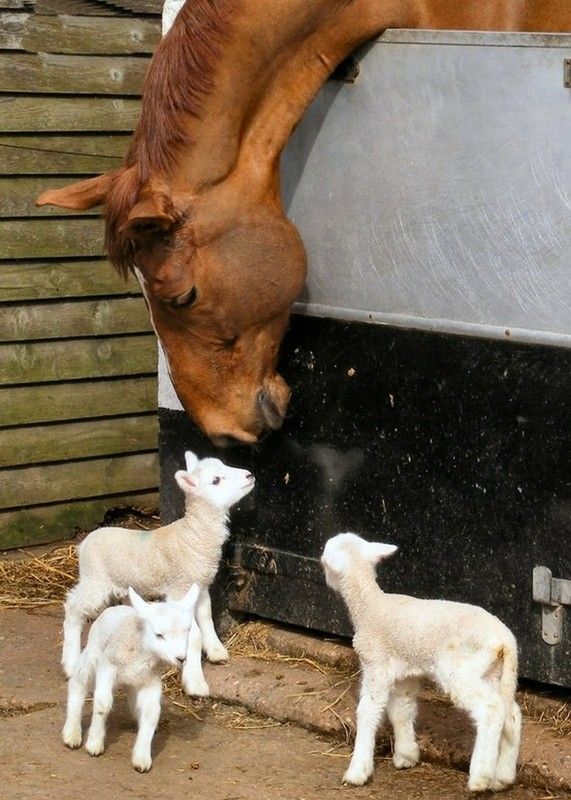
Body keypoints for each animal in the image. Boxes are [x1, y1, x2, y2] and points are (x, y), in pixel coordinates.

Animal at [62, 454, 255, 696]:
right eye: (216, 480)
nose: (250, 475)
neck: (192, 534)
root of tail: (84, 543)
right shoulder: (179, 588)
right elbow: (193, 635)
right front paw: (195, 682)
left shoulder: (199, 585)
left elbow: (207, 618)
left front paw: (216, 651)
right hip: (95, 580)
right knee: (74, 609)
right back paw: (69, 663)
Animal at [63, 584, 199, 772]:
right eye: (158, 635)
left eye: (188, 631)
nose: (181, 658)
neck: (142, 650)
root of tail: (116, 607)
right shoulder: (108, 666)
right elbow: (103, 704)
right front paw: (94, 743)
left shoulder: (151, 678)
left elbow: (152, 712)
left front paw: (142, 757)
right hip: (92, 656)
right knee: (78, 684)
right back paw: (72, 733)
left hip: (133, 680)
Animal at [322, 532, 524, 792]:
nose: (325, 576)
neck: (369, 606)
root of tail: (505, 640)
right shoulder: (405, 674)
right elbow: (402, 710)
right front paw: (406, 755)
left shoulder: (376, 664)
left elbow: (368, 710)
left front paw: (357, 771)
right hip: (493, 672)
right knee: (512, 713)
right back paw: (502, 777)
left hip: (461, 669)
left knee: (491, 708)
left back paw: (480, 777)